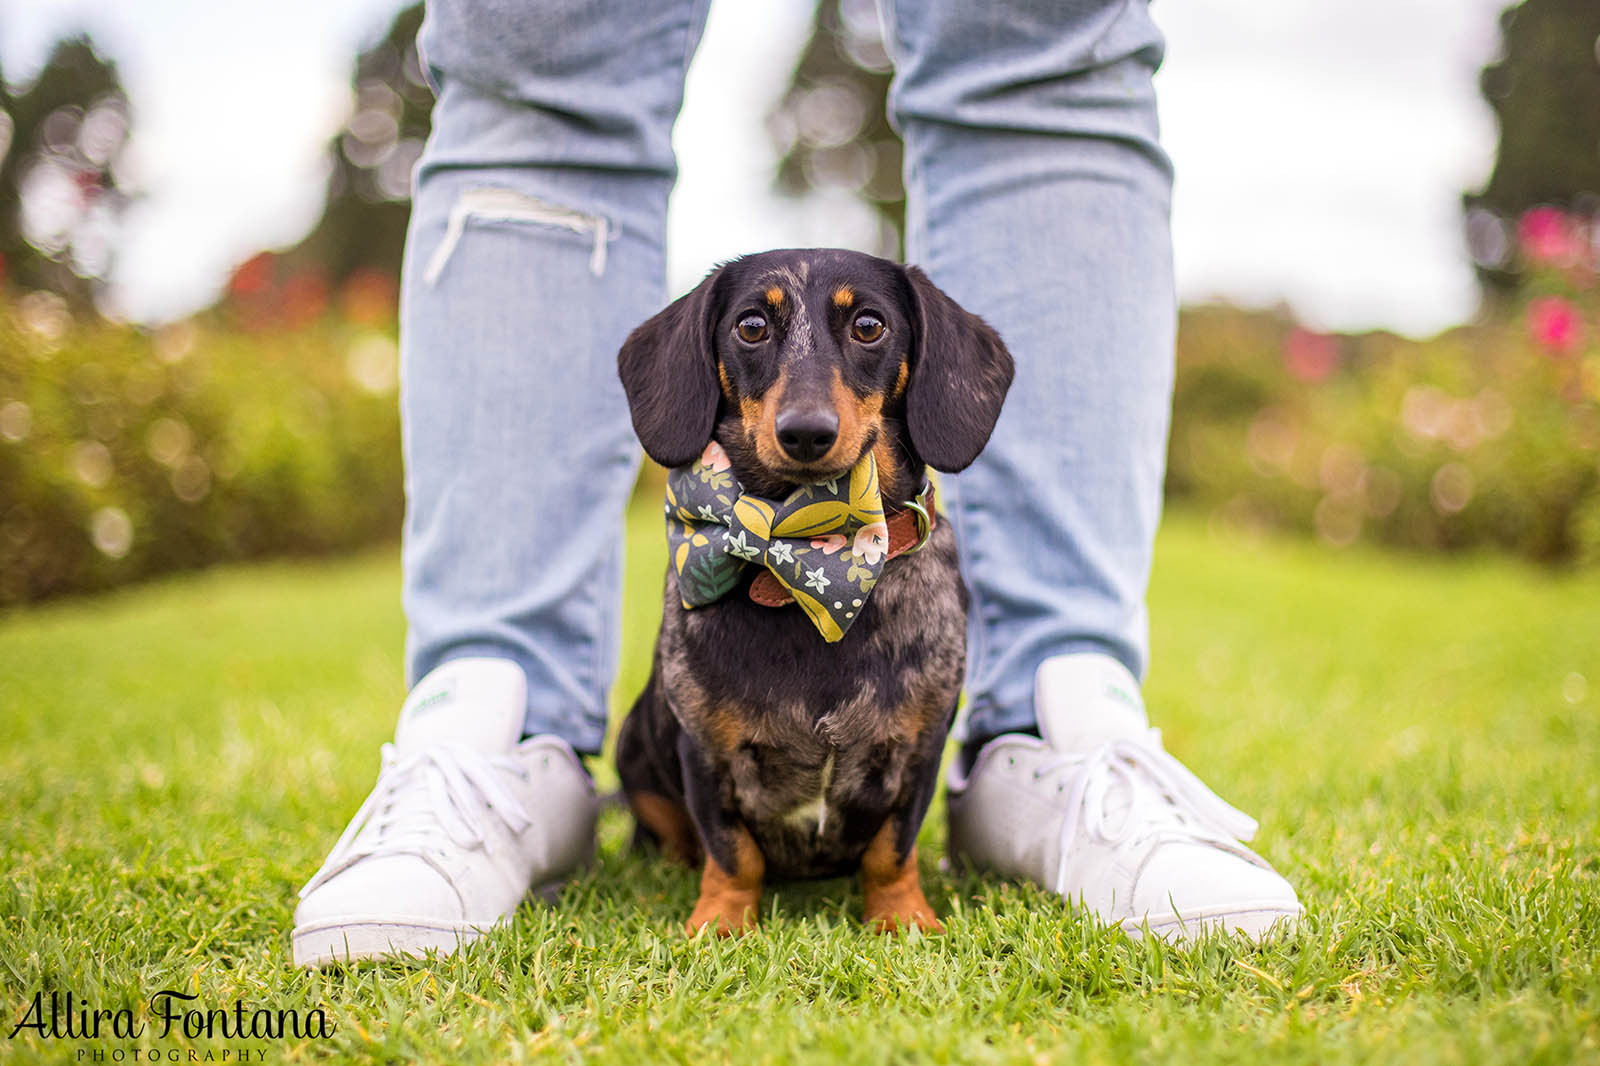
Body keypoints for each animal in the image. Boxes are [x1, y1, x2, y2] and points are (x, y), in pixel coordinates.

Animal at [614, 246, 1011, 928]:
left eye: (870, 326)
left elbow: (892, 850)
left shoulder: (921, 748)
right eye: (751, 326)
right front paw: (719, 923)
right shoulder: (705, 753)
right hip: (634, 746)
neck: (805, 561)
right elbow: (732, 853)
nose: (805, 432)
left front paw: (904, 919)